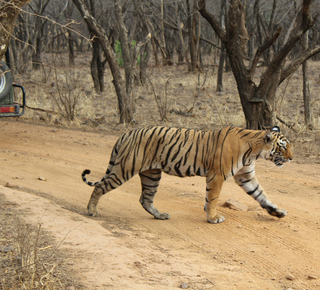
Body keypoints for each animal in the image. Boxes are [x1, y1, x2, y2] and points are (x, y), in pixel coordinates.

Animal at [82, 125, 292, 223]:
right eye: (282, 147)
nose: (291, 158)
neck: (255, 151)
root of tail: (126, 133)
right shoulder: (217, 175)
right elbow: (213, 198)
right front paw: (213, 218)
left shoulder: (246, 176)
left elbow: (261, 195)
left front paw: (278, 212)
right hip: (125, 168)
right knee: (100, 187)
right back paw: (92, 211)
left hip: (152, 174)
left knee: (145, 199)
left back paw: (160, 215)